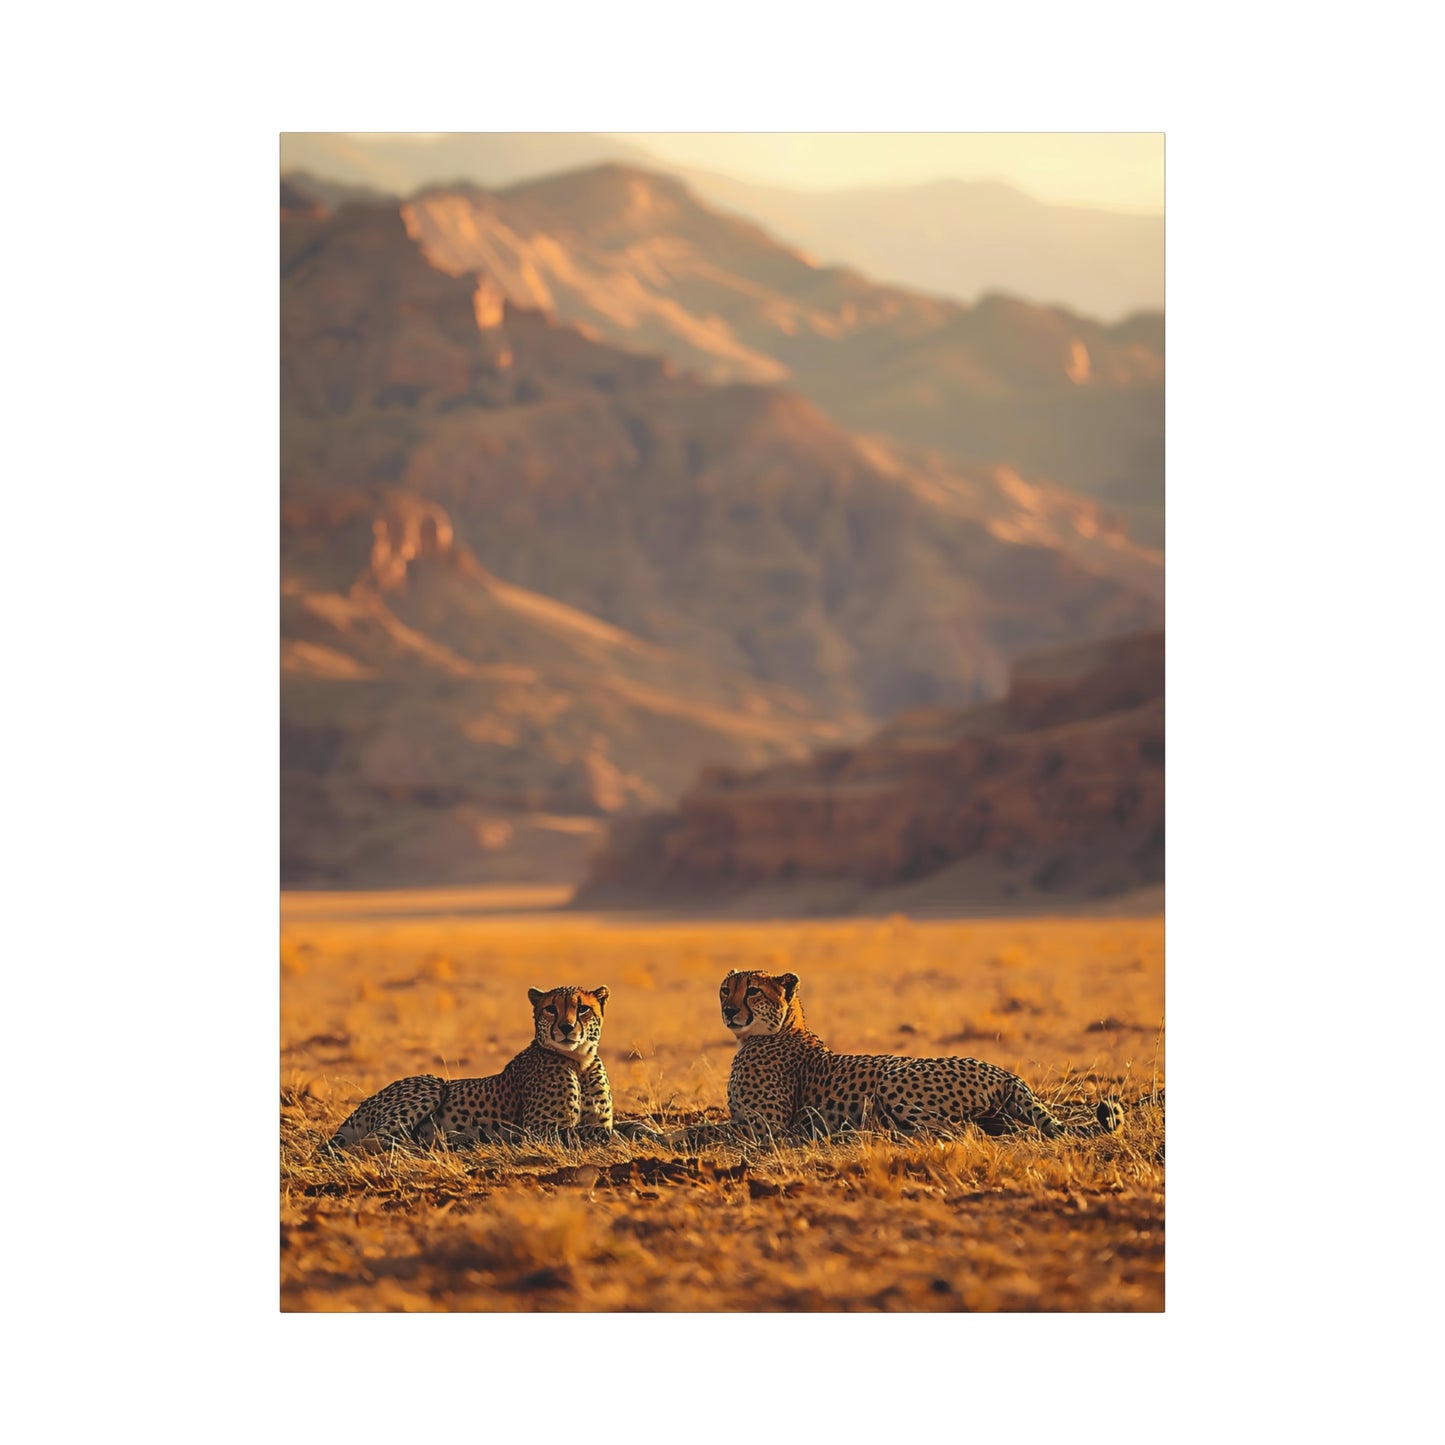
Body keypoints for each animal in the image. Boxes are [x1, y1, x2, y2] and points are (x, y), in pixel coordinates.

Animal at [327, 985, 613, 1149]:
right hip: (432, 1083)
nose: (566, 1027)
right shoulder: (541, 1129)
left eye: (583, 1009)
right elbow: (591, 1132)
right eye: (551, 1009)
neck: (579, 1061)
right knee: (371, 1141)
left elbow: (608, 1128)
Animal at [716, 969, 1124, 1143]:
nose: (729, 1010)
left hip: (893, 1076)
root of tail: (1004, 1071)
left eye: (752, 990)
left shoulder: (765, 1126)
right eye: (725, 988)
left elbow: (708, 1129)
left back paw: (877, 1133)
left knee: (959, 1130)